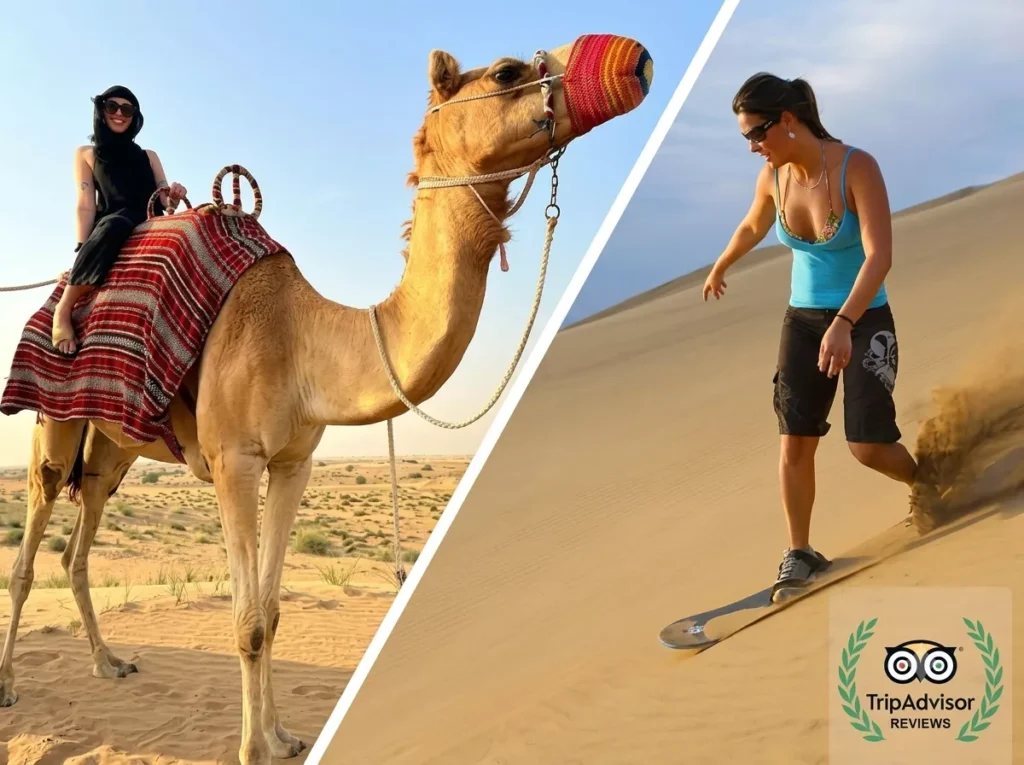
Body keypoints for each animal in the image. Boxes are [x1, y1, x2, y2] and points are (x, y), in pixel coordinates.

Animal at [0, 33, 653, 765]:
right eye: (509, 72)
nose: (634, 57)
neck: (301, 334)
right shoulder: (234, 458)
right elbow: (247, 619)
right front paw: (252, 749)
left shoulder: (294, 461)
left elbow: (273, 609)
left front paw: (282, 736)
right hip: (55, 426)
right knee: (29, 553)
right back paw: (10, 686)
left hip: (114, 449)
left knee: (78, 541)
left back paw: (109, 662)